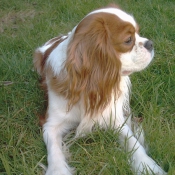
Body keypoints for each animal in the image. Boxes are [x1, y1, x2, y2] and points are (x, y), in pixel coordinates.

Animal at [33, 4, 167, 175]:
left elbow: (133, 143)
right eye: (128, 40)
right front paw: (58, 170)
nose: (150, 43)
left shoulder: (114, 117)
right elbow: (54, 150)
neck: (86, 84)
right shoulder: (50, 125)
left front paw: (148, 165)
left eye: (138, 32)